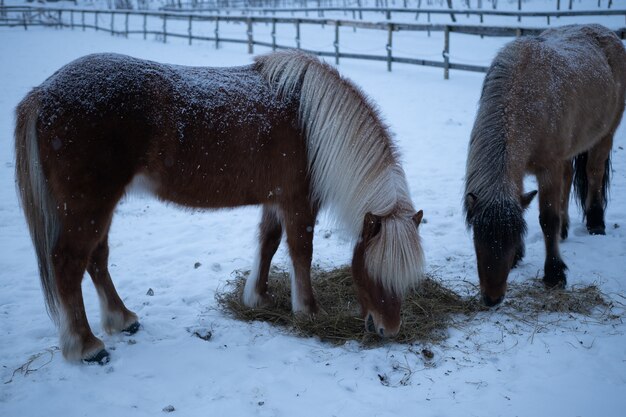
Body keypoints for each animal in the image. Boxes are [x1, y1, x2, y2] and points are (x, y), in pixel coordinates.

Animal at [13, 48, 424, 362]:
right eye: (375, 271)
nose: (389, 330)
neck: (313, 125)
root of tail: (43, 93)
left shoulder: (275, 200)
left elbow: (268, 242)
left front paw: (257, 296)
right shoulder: (299, 203)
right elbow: (301, 252)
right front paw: (308, 311)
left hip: (97, 208)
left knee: (96, 259)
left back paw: (122, 319)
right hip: (88, 207)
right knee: (68, 265)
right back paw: (86, 346)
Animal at [464, 24, 624, 306]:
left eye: (509, 237)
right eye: (477, 238)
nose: (492, 299)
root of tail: (608, 32)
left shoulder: (549, 167)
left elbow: (548, 219)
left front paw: (554, 274)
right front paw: (520, 256)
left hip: (605, 135)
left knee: (594, 172)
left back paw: (596, 223)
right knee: (569, 177)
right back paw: (566, 229)